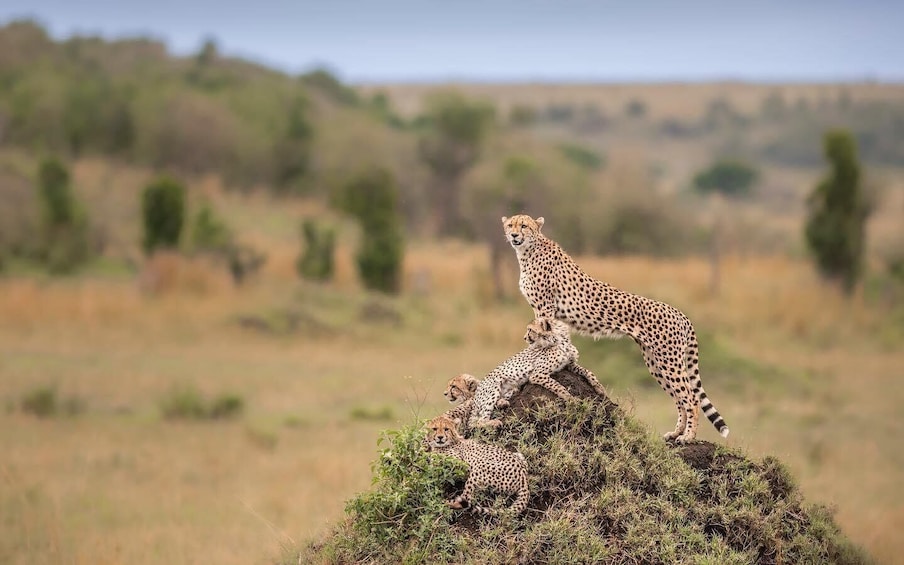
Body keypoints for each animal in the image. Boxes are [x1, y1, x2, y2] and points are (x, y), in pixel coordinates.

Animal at [504, 214, 732, 442]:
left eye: (523, 226)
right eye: (510, 225)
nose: (514, 235)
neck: (528, 251)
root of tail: (679, 312)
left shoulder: (545, 308)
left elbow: (544, 333)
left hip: (669, 360)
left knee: (691, 398)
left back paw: (688, 436)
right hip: (655, 362)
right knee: (679, 398)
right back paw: (676, 432)